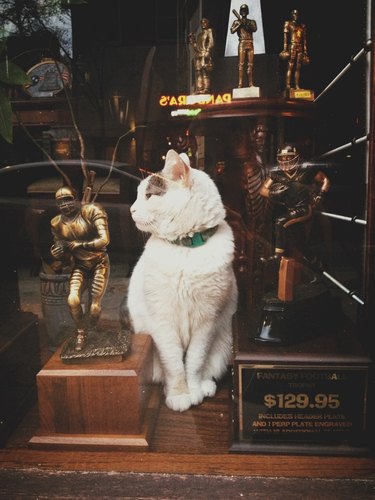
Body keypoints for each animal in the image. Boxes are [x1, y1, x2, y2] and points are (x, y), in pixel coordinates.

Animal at [125, 150, 238, 412]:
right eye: (138, 195)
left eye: (149, 195)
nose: (131, 209)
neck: (186, 246)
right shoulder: (163, 322)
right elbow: (175, 365)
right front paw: (179, 395)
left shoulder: (206, 322)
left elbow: (194, 362)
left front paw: (193, 389)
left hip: (223, 341)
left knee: (207, 367)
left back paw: (205, 386)